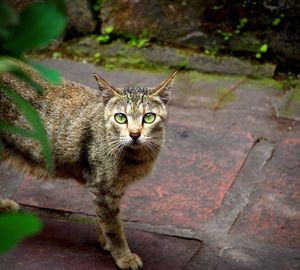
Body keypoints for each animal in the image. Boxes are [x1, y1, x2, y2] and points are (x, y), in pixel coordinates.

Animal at [0, 61, 177, 270]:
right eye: (120, 117)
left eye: (149, 117)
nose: (134, 134)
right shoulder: (103, 188)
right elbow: (113, 227)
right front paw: (123, 256)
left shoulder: (112, 189)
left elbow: (106, 220)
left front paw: (105, 241)